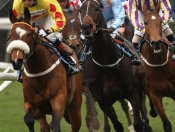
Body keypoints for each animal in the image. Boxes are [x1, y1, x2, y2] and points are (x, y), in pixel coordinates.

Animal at [79, 0, 153, 131]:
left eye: (97, 8)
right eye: (80, 10)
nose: (86, 28)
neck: (106, 63)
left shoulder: (132, 92)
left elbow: (139, 124)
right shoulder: (103, 101)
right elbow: (117, 125)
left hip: (140, 89)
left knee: (145, 117)